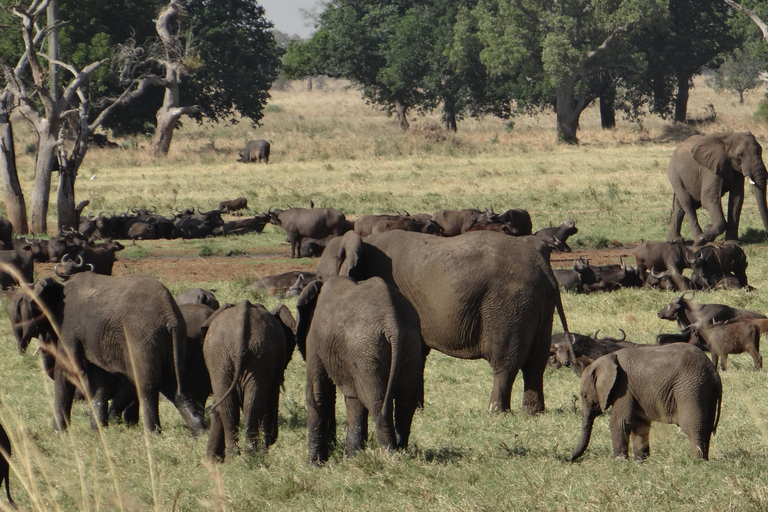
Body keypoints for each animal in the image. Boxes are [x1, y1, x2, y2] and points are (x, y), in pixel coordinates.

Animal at [20, 274, 206, 434]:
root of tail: (170, 315)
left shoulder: (69, 325)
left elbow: (67, 371)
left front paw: (58, 432)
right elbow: (99, 379)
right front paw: (99, 431)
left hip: (142, 337)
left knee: (147, 384)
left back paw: (151, 434)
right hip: (174, 341)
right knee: (174, 384)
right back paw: (199, 431)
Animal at [202, 300, 296, 460]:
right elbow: (271, 399)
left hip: (223, 357)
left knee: (233, 407)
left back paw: (236, 458)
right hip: (256, 355)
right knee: (252, 405)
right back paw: (249, 457)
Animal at [296, 276, 426, 464]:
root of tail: (392, 323)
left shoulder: (314, 338)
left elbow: (317, 393)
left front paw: (314, 465)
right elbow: (353, 399)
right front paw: (353, 459)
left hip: (367, 350)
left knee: (376, 402)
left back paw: (390, 457)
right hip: (409, 345)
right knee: (405, 402)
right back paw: (401, 451)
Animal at [314, 230, 568, 414]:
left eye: (318, 277)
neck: (363, 241)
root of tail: (545, 268)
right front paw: (417, 410)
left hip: (508, 304)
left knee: (506, 362)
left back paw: (496, 412)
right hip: (538, 306)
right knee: (536, 362)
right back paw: (533, 413)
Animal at [572, 342, 724, 462]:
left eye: (584, 395)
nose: (569, 458)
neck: (608, 358)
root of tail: (714, 374)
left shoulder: (624, 388)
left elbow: (620, 422)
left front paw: (619, 462)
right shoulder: (634, 391)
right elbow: (639, 424)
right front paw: (641, 462)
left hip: (690, 389)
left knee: (693, 427)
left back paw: (697, 462)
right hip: (705, 392)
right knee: (707, 429)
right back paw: (705, 460)